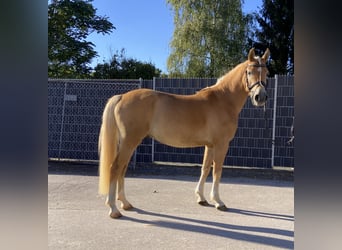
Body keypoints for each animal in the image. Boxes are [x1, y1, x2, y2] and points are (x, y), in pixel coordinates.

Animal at [98, 47, 270, 218]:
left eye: (267, 72)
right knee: (115, 168)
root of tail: (122, 97)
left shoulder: (210, 145)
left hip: (129, 143)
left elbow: (205, 168)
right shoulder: (221, 144)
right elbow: (217, 171)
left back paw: (125, 203)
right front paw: (218, 201)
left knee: (123, 169)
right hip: (129, 141)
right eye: (249, 72)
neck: (223, 100)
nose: (260, 97)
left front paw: (201, 198)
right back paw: (113, 209)